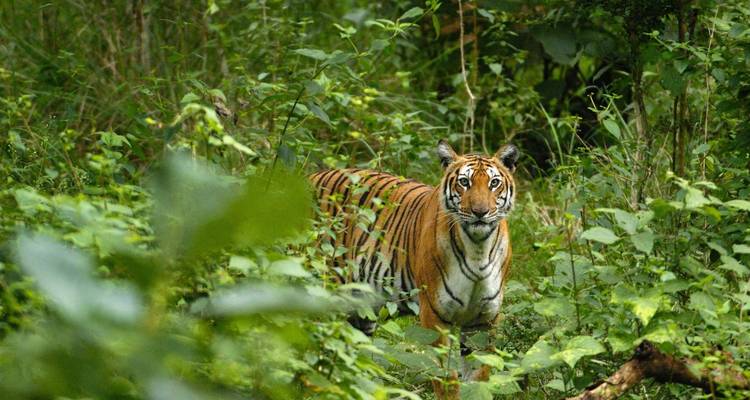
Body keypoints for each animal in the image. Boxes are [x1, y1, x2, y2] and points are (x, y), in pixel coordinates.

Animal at [309, 140, 518, 395]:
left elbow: (479, 378)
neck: (478, 248)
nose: (480, 212)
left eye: (494, 183)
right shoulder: (434, 315)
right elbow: (446, 379)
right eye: (464, 182)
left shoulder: (484, 320)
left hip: (361, 309)